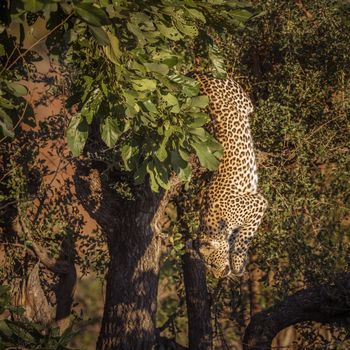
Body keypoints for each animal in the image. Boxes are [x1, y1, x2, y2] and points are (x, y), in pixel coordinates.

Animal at [193, 74, 266, 278]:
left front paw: (238, 263)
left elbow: (243, 237)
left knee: (249, 105)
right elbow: (236, 239)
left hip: (242, 101)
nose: (218, 276)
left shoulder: (258, 202)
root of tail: (199, 74)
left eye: (211, 264)